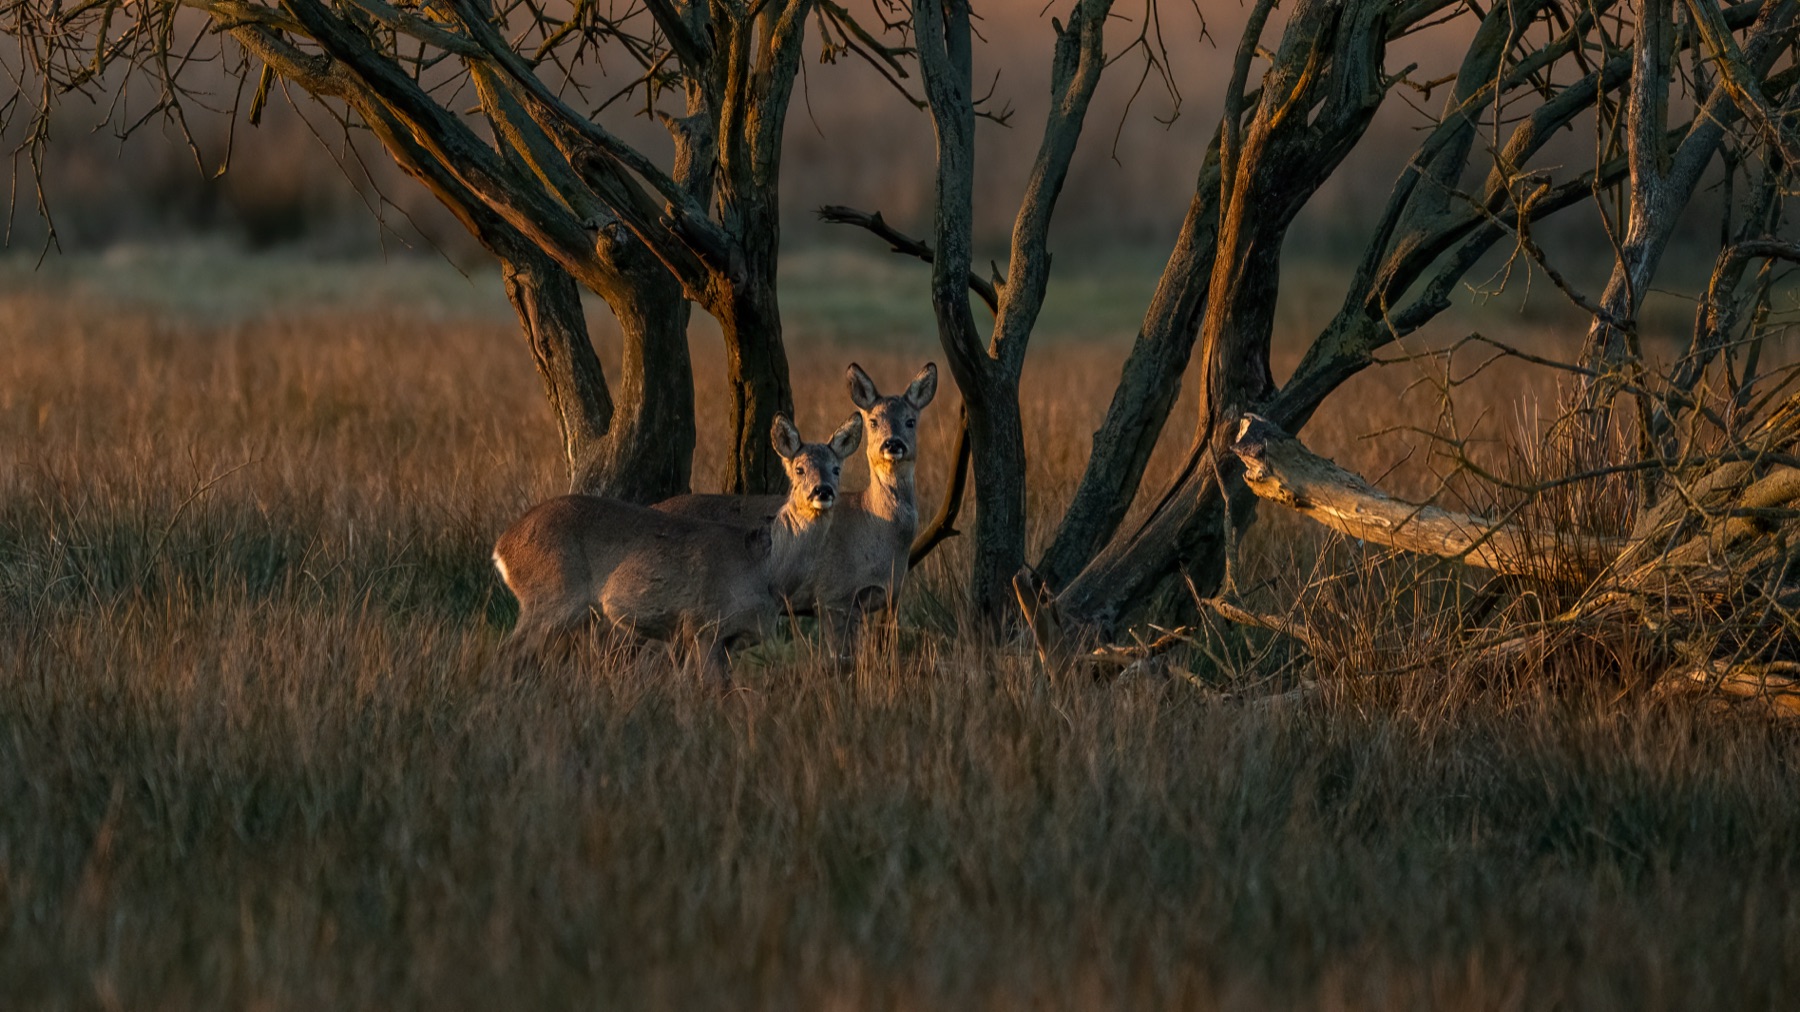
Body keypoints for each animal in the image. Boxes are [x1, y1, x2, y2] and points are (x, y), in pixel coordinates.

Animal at [493, 413, 862, 680]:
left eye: (836, 468)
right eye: (799, 468)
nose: (823, 491)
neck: (765, 569)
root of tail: (503, 546)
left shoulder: (726, 638)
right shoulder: (704, 625)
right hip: (550, 596)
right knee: (509, 653)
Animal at [657, 362, 938, 657]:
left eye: (910, 420)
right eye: (873, 421)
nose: (892, 444)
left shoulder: (886, 598)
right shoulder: (833, 594)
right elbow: (839, 658)